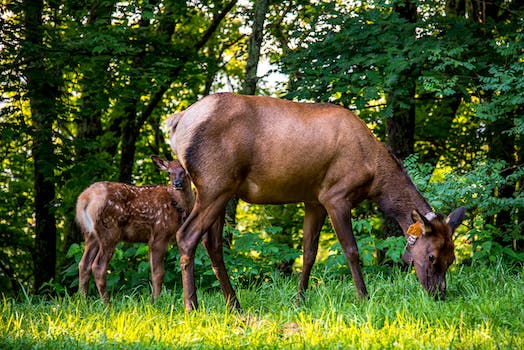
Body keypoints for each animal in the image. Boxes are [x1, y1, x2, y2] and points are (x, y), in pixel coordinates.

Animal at [77, 155, 193, 300]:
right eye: (169, 172)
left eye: (185, 171)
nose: (176, 184)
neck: (177, 205)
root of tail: (85, 199)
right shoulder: (159, 233)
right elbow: (159, 272)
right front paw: (155, 300)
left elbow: (153, 270)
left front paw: (152, 299)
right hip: (109, 230)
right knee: (98, 266)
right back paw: (107, 303)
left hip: (90, 234)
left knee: (83, 264)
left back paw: (84, 301)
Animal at [169, 93, 466, 312]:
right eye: (432, 256)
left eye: (452, 258)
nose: (439, 295)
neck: (374, 177)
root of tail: (177, 121)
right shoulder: (336, 196)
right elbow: (351, 250)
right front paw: (364, 298)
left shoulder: (314, 200)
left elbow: (309, 252)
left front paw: (299, 300)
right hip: (214, 184)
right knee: (186, 235)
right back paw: (192, 307)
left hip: (221, 190)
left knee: (212, 244)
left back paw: (234, 305)